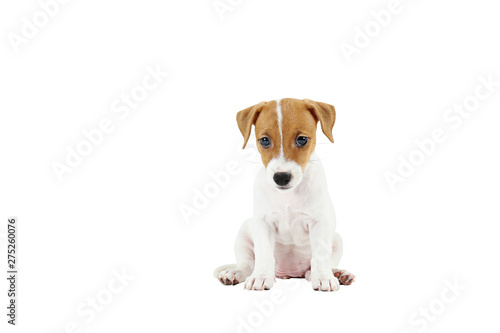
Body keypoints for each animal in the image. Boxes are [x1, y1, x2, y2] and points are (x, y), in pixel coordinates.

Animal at [215, 97, 356, 290]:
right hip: (244, 232)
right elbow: (264, 253)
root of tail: (290, 274)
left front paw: (324, 278)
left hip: (337, 239)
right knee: (248, 263)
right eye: (264, 140)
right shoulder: (263, 223)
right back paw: (235, 273)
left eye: (302, 139)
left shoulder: (320, 223)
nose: (281, 177)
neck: (288, 196)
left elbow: (320, 255)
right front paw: (261, 277)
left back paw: (337, 273)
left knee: (317, 265)